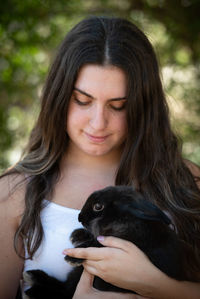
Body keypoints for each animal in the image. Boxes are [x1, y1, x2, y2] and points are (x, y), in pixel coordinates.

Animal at [23, 186, 192, 298]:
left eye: (98, 206)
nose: (79, 217)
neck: (124, 219)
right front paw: (77, 235)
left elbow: (96, 245)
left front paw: (72, 256)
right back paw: (33, 277)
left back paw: (33, 287)